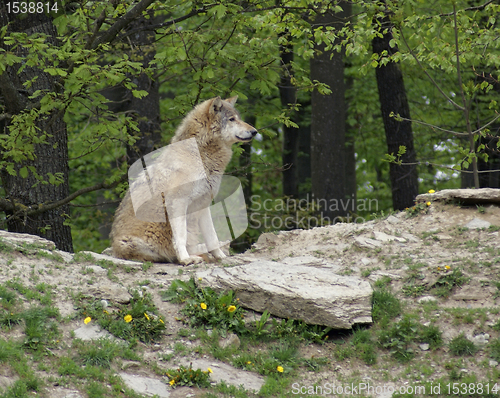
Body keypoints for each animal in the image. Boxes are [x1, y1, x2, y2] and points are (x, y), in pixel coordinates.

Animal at [110, 95, 258, 264]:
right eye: (232, 119)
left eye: (238, 118)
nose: (255, 131)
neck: (200, 155)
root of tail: (115, 250)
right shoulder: (178, 202)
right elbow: (180, 236)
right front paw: (185, 259)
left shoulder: (204, 204)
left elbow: (212, 237)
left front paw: (221, 257)